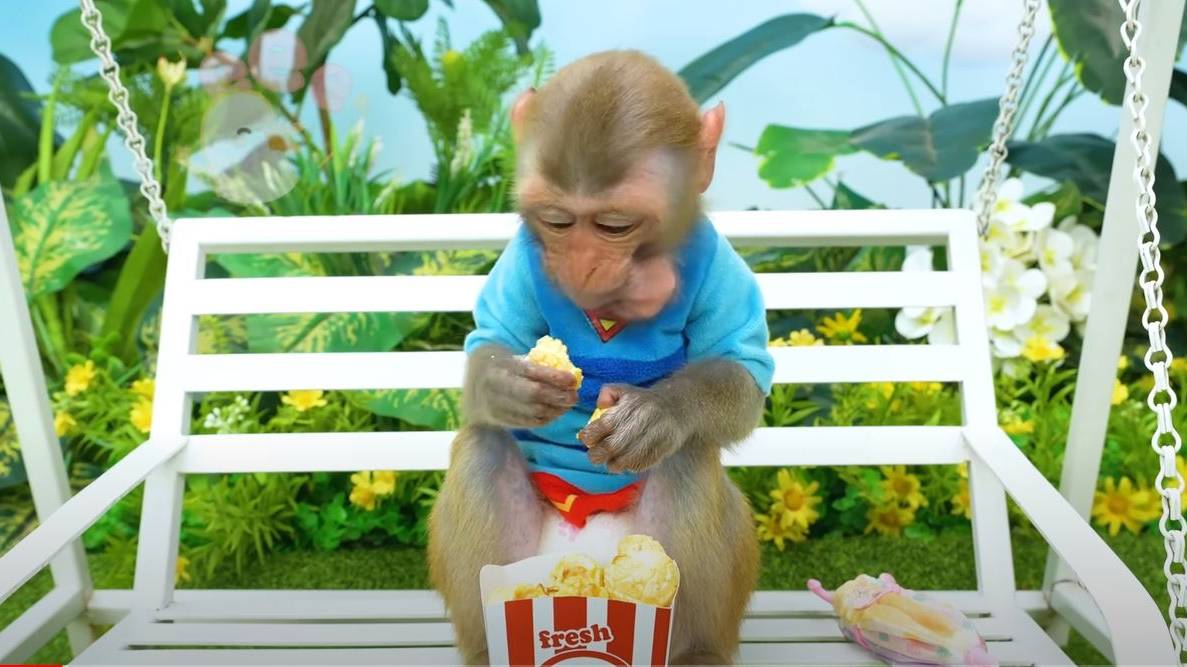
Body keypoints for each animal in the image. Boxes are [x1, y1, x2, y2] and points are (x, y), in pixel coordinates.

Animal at [427, 49, 774, 666]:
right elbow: (487, 342)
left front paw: (657, 413)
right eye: (558, 221)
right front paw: (509, 386)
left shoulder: (718, 261)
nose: (584, 268)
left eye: (617, 225)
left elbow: (741, 375)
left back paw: (692, 652)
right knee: (483, 448)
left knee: (689, 456)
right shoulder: (520, 260)